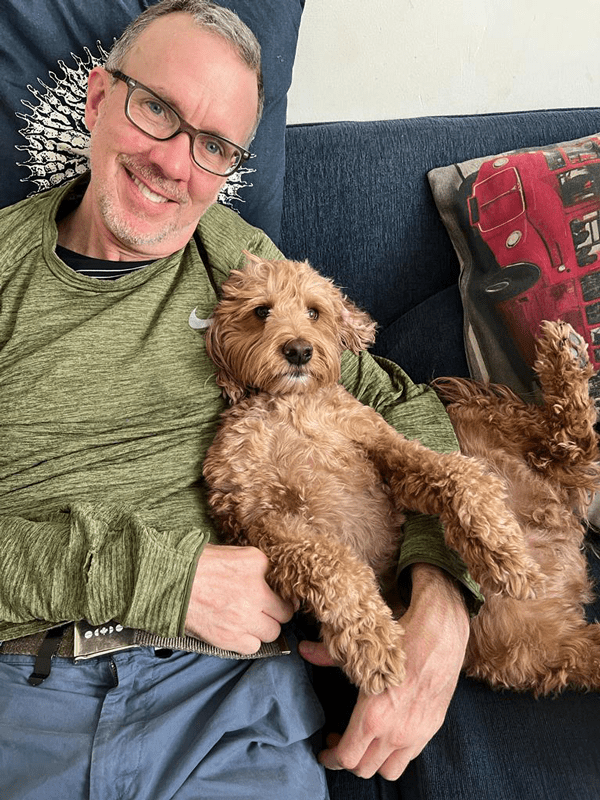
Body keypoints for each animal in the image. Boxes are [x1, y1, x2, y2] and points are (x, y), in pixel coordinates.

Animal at [202, 255, 600, 692]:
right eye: (261, 311)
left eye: (313, 312)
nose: (300, 350)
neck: (289, 407)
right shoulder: (261, 519)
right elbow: (331, 564)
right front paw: (371, 640)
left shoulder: (382, 446)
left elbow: (457, 475)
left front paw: (503, 553)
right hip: (537, 646)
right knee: (571, 450)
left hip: (478, 417)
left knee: (571, 443)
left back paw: (565, 359)